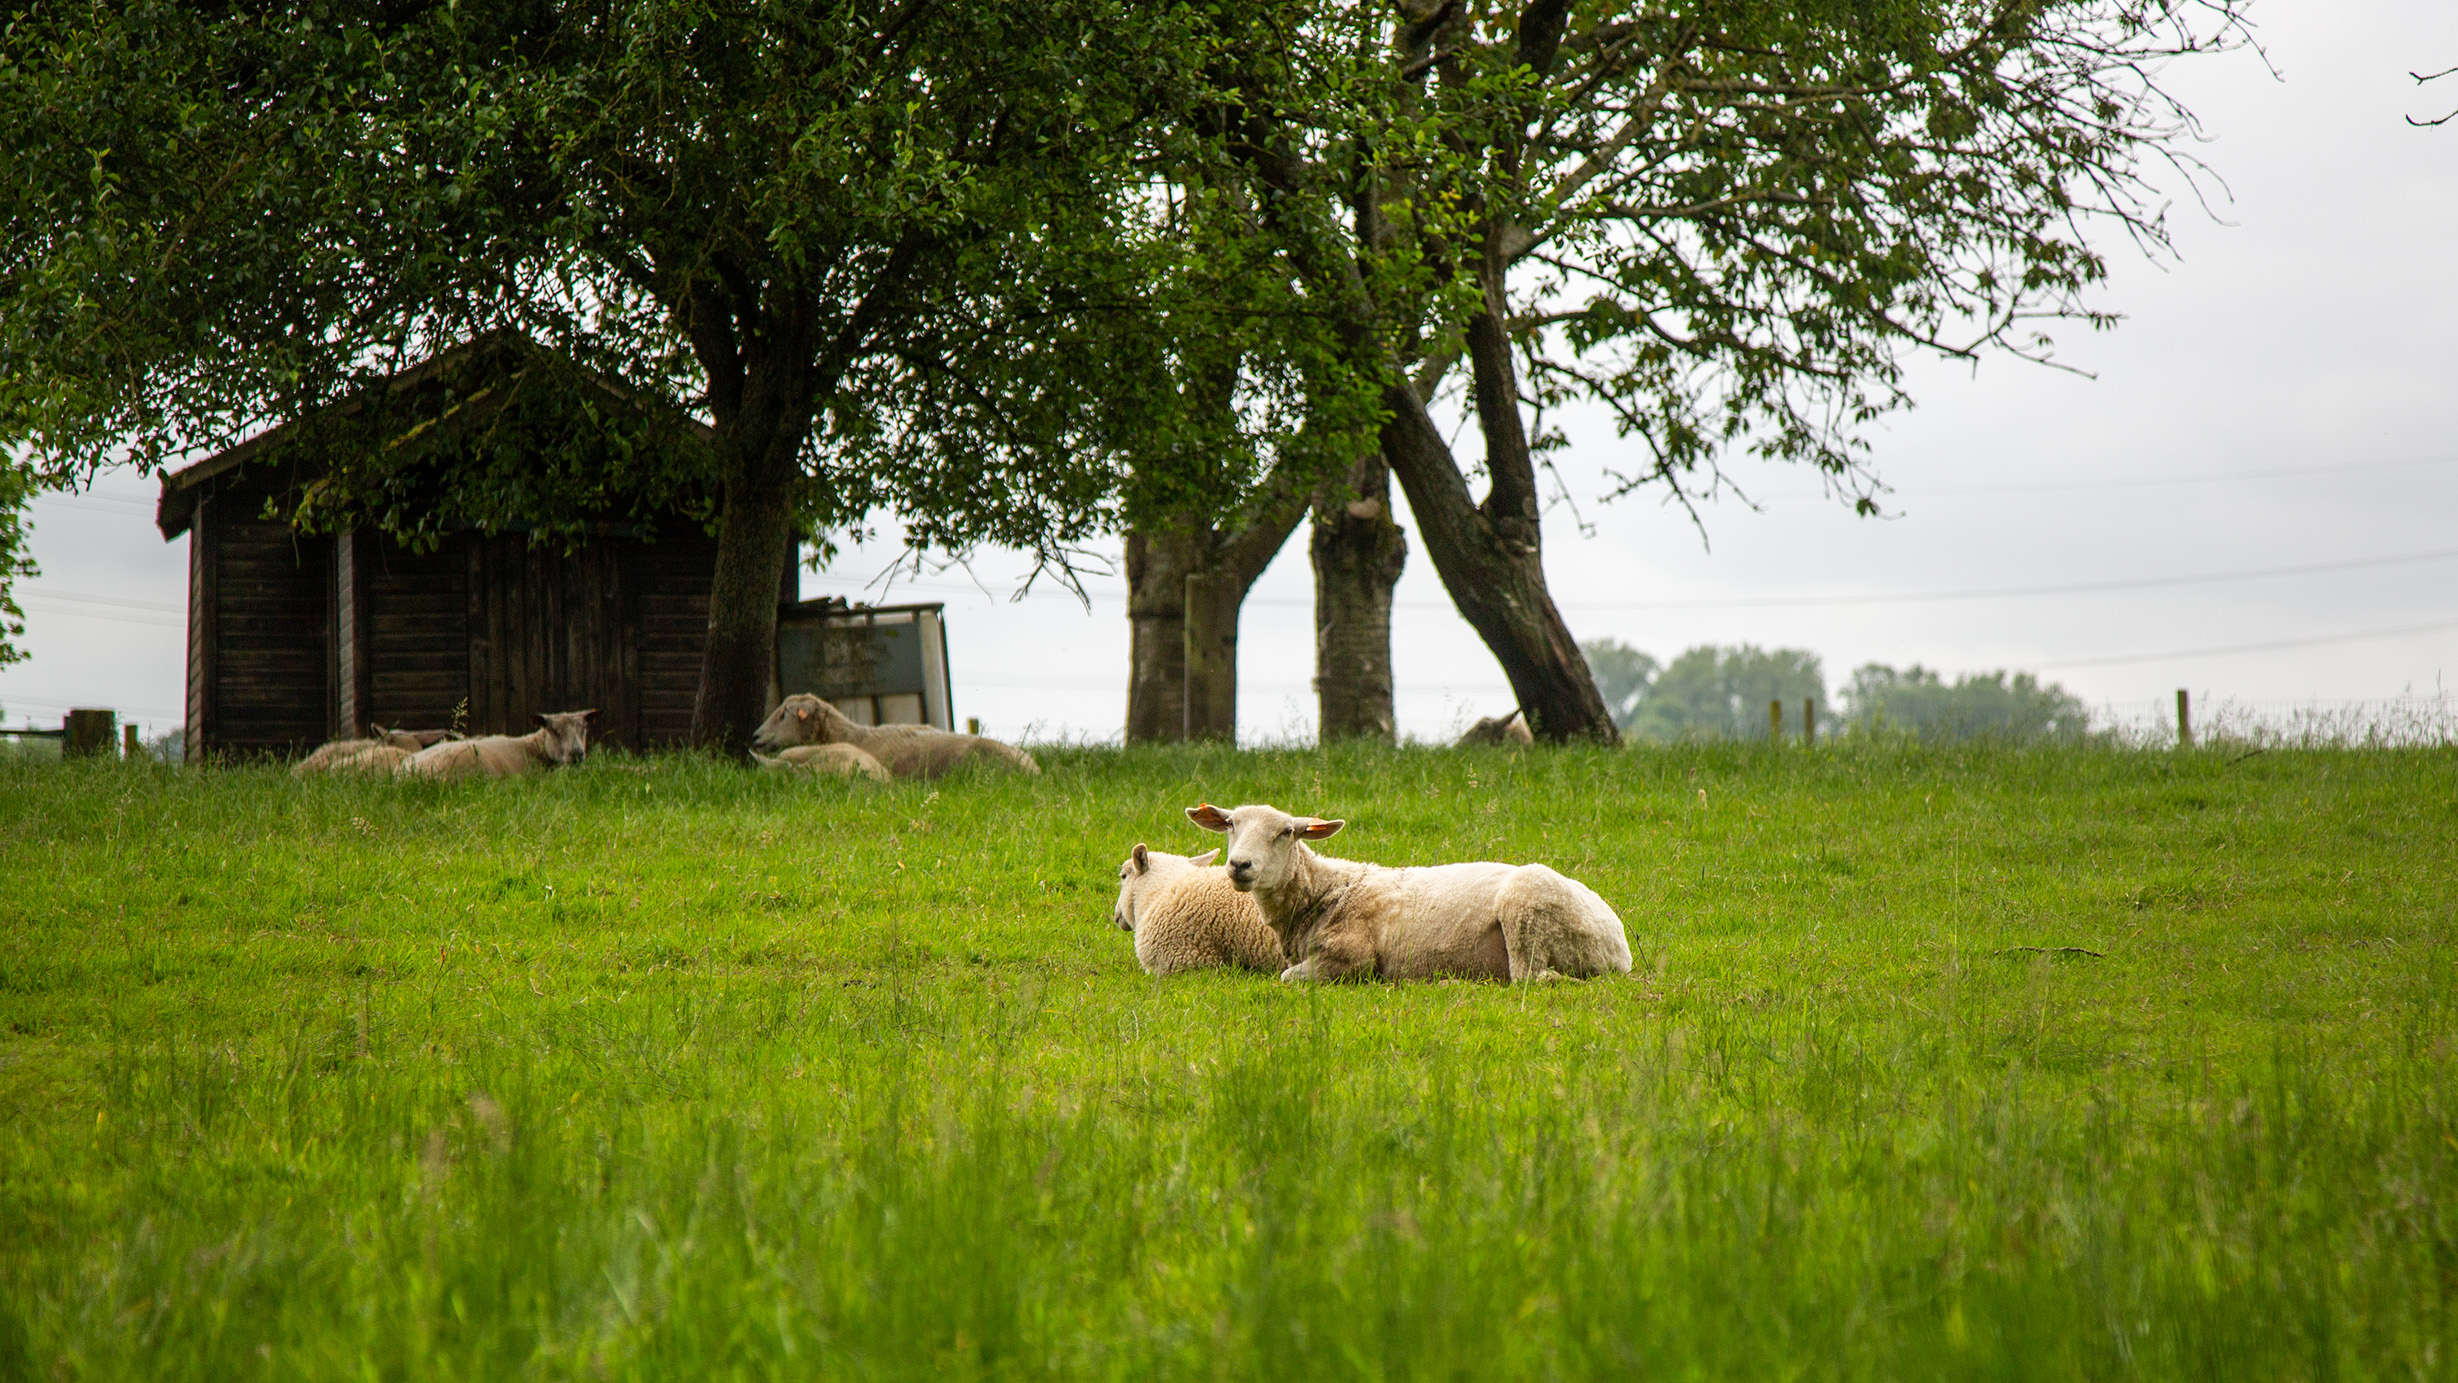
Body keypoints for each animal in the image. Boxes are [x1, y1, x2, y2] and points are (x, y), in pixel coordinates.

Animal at [1184, 800, 1632, 982]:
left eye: (1286, 833)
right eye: (1230, 825)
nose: (1240, 865)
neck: (1326, 891)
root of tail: (1619, 946)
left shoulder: (1352, 958)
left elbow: (1286, 977)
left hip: (1526, 909)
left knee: (1533, 979)